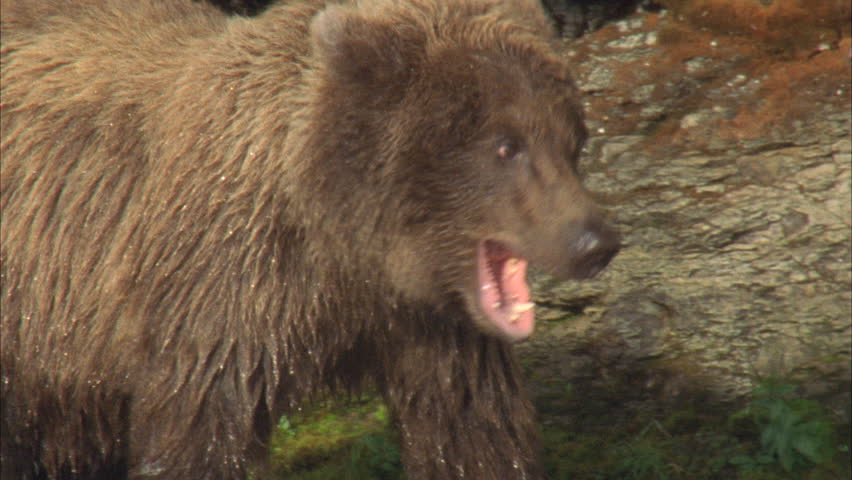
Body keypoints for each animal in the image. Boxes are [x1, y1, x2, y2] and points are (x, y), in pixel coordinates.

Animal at [0, 0, 620, 478]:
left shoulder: (436, 330)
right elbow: (200, 435)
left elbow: (472, 432)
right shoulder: (222, 297)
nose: (595, 242)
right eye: (505, 144)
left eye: (570, 139)